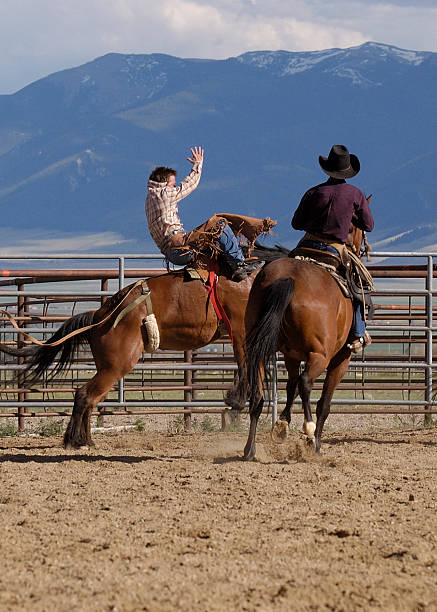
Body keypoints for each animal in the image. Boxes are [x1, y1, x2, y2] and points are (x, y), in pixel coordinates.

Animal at [1, 268, 262, 450]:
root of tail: (99, 315)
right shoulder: (240, 330)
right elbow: (244, 364)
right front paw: (236, 400)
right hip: (115, 367)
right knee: (85, 395)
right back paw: (75, 441)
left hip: (107, 368)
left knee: (89, 398)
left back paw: (86, 440)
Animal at [235, 225, 364, 460]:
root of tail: (288, 279)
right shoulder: (341, 359)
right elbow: (323, 403)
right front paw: (316, 443)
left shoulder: (291, 355)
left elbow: (290, 386)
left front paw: (282, 425)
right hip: (320, 356)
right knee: (306, 384)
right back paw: (309, 432)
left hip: (259, 348)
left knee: (258, 397)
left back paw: (250, 450)